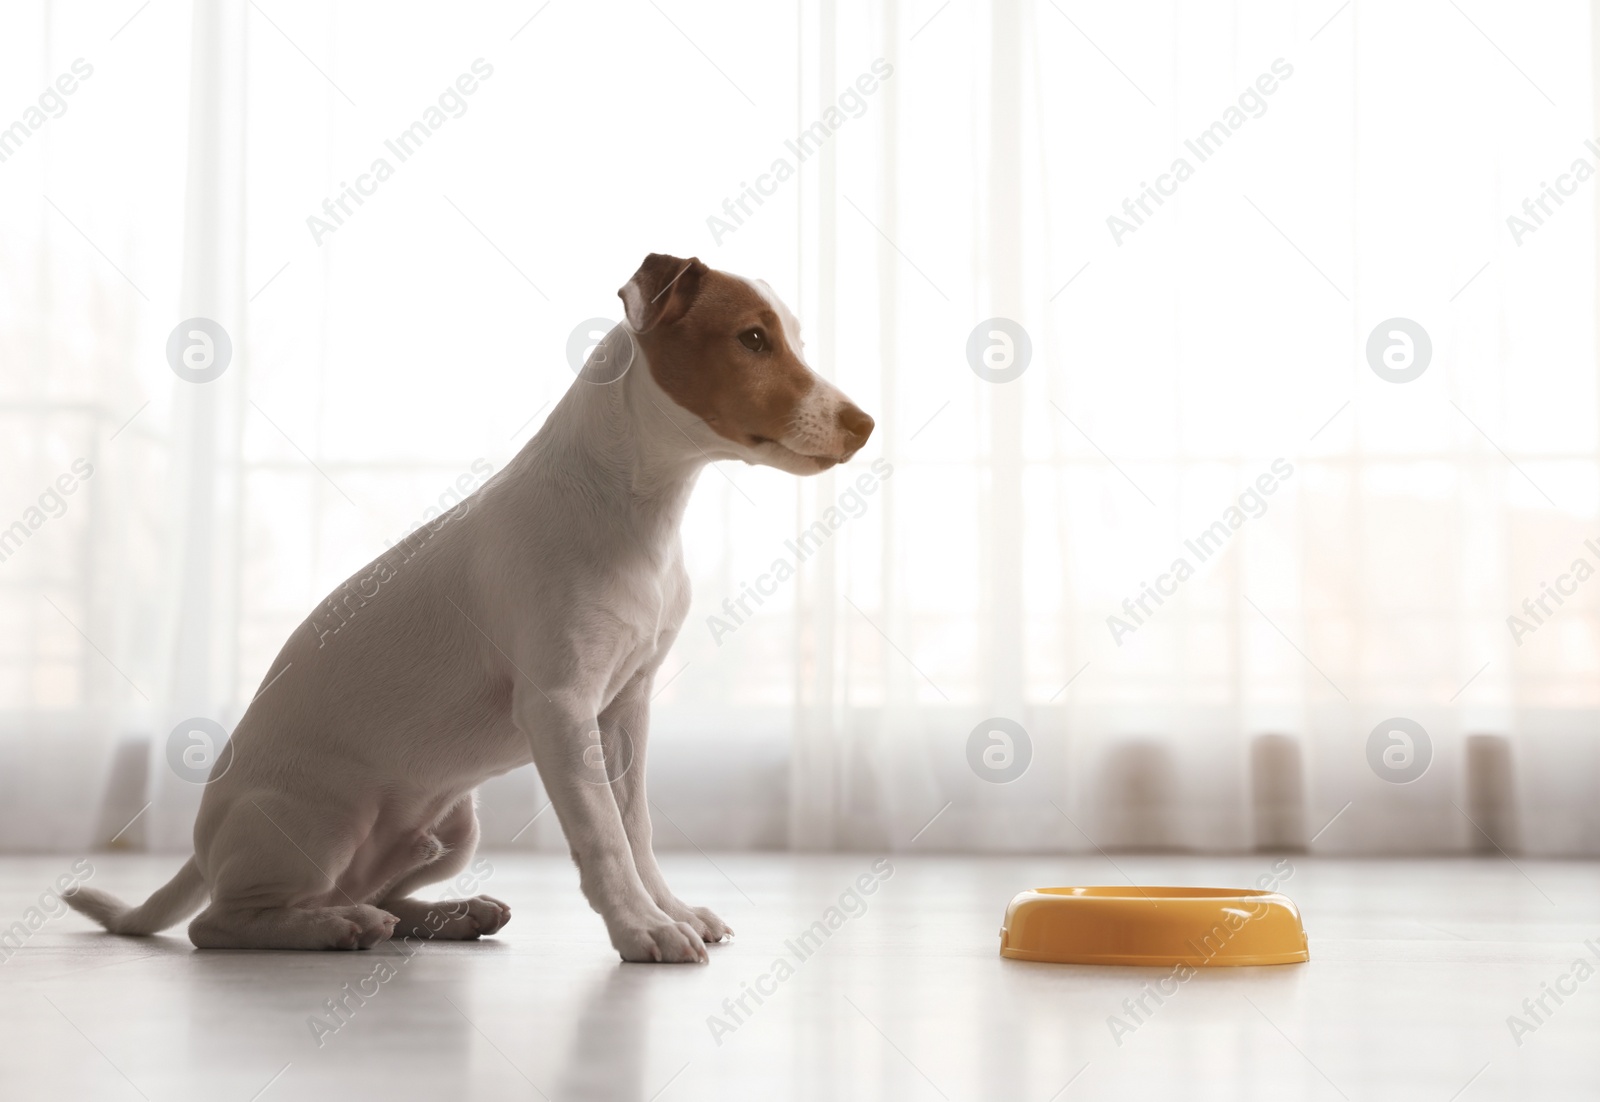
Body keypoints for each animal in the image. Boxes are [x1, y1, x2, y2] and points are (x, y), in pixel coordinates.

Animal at [68, 254, 876, 959]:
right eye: (752, 339)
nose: (865, 424)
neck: (636, 511)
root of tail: (203, 845)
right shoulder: (560, 708)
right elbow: (604, 837)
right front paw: (641, 929)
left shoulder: (625, 709)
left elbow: (637, 827)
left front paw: (668, 909)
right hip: (319, 820)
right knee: (223, 922)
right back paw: (329, 928)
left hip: (455, 831)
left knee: (371, 895)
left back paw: (443, 914)